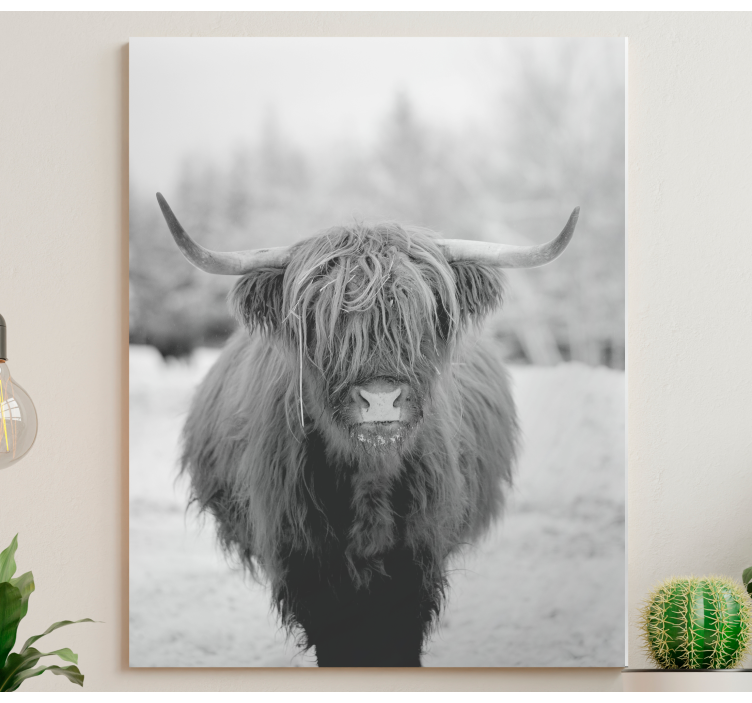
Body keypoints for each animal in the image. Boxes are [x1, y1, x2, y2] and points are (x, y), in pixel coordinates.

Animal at [156, 193, 579, 667]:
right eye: (321, 320)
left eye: (422, 317)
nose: (380, 399)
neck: (369, 479)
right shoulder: (306, 563)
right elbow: (338, 642)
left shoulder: (416, 559)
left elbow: (397, 639)